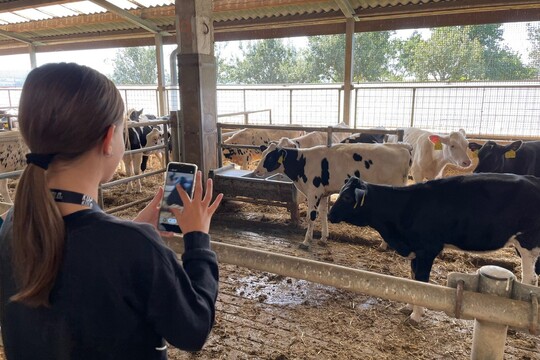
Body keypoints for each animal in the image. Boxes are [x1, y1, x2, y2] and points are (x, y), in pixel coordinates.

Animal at [255, 142, 412, 249]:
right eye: (263, 154)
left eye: (270, 157)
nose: (256, 171)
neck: (302, 163)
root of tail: (401, 147)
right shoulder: (323, 193)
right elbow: (323, 214)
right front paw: (323, 238)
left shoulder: (313, 192)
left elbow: (311, 216)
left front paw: (306, 242)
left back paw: (384, 246)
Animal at [326, 174, 540, 324]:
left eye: (347, 197)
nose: (329, 215)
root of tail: (532, 179)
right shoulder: (415, 251)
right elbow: (413, 280)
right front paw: (409, 307)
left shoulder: (427, 250)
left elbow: (422, 282)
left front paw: (416, 316)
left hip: (528, 243)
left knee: (528, 279)